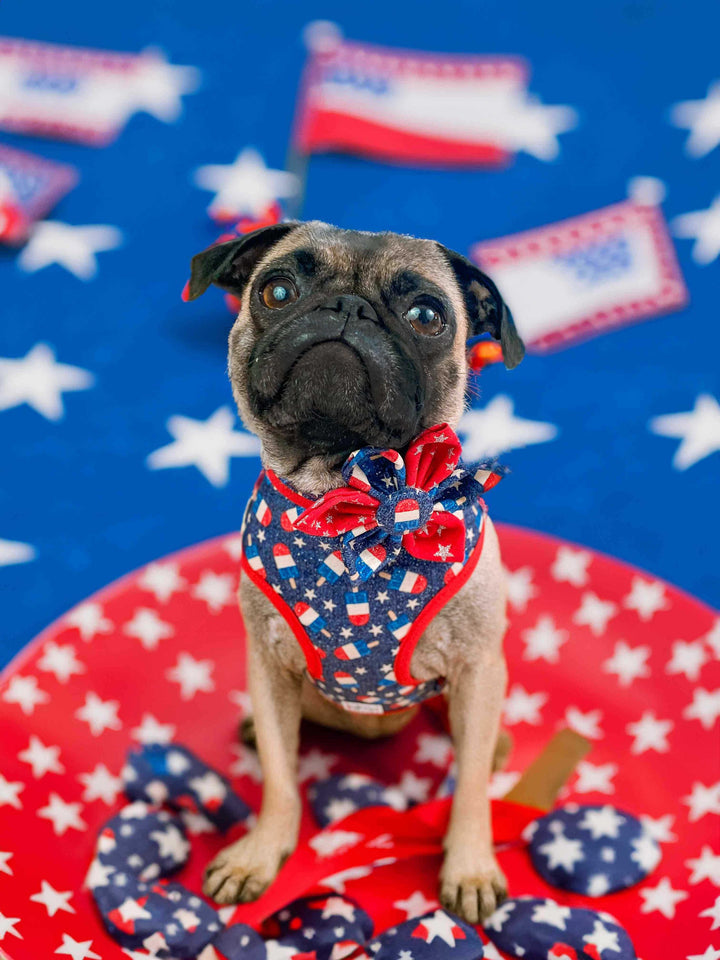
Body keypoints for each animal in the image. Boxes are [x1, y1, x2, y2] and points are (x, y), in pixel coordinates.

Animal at [186, 219, 524, 924]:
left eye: (427, 316)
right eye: (277, 290)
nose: (347, 308)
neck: (352, 494)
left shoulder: (477, 672)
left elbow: (470, 791)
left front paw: (471, 866)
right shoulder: (269, 666)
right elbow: (281, 781)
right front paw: (263, 854)